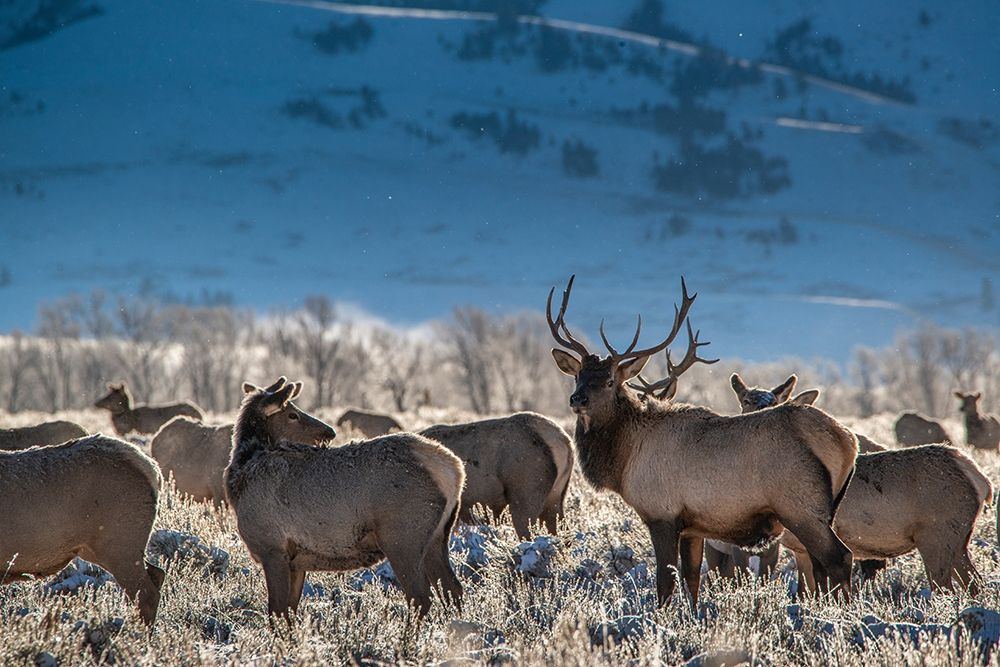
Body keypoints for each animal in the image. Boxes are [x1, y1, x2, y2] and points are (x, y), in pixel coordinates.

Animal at [225, 378, 464, 618]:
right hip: (437, 535)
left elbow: (277, 611)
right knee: (452, 588)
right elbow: (290, 610)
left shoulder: (272, 548)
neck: (239, 479)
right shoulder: (296, 561)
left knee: (421, 597)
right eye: (293, 414)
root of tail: (454, 469)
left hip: (402, 537)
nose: (330, 431)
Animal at [546, 276, 857, 607]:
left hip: (801, 506)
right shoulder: (692, 527)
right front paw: (693, 614)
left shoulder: (662, 513)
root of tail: (848, 442)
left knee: (839, 557)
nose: (577, 399)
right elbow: (692, 579)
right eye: (578, 375)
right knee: (821, 566)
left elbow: (665, 582)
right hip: (823, 510)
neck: (624, 460)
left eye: (608, 381)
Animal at [718, 375, 992, 594]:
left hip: (936, 534)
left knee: (946, 587)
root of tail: (981, 480)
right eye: (745, 400)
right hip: (958, 539)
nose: (759, 413)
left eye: (775, 401)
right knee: (975, 584)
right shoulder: (799, 549)